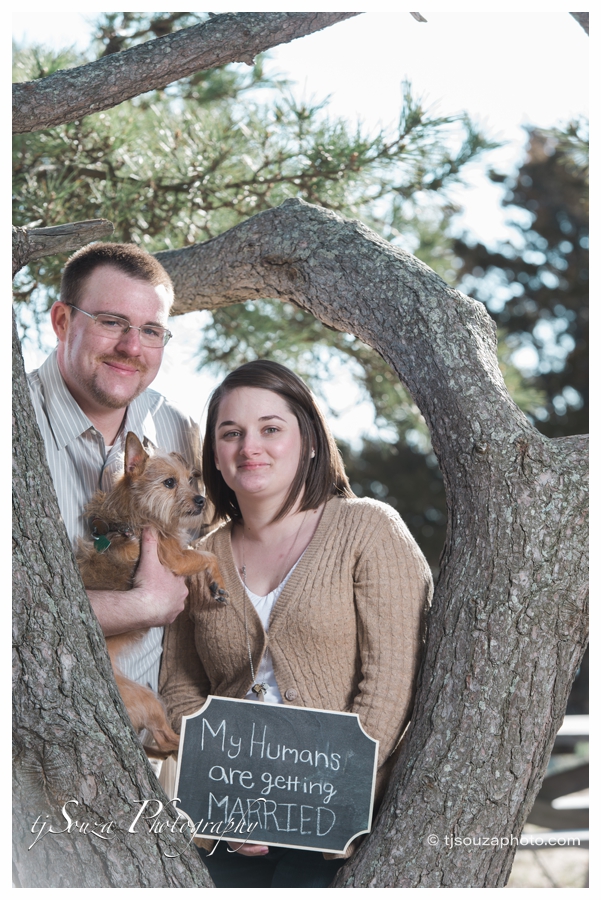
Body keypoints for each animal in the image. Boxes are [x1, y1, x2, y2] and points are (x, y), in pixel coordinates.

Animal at [75, 432, 225, 756]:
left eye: (191, 480)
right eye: (169, 483)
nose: (201, 499)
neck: (135, 516)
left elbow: (205, 553)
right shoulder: (174, 558)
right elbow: (208, 555)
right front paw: (217, 583)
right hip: (147, 699)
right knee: (165, 738)